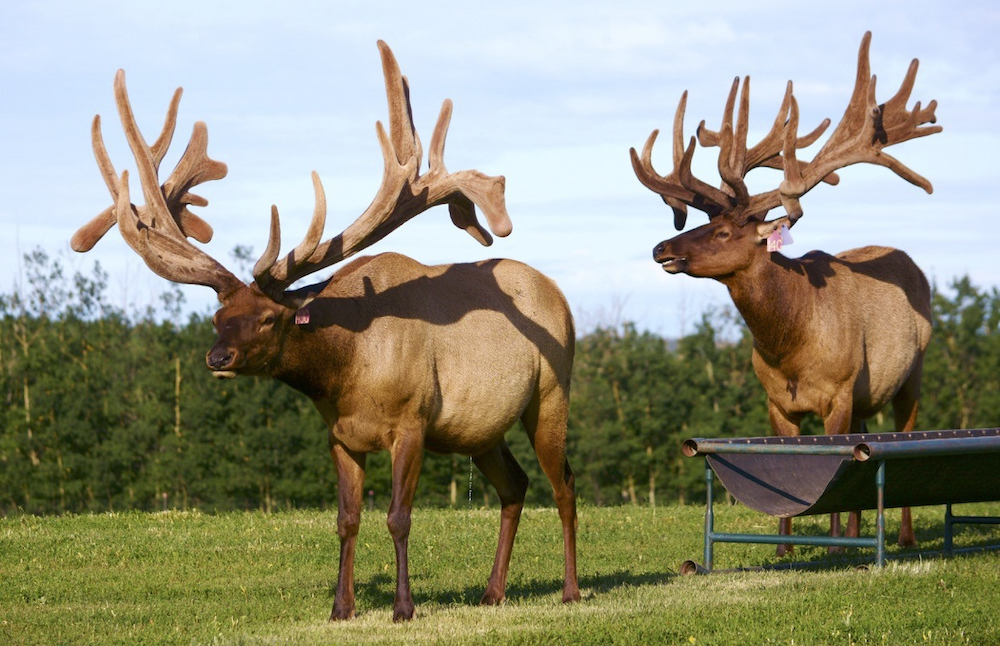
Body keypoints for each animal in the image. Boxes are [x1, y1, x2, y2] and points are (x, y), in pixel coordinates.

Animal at [71, 41, 580, 621]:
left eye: (269, 318)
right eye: (218, 318)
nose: (218, 358)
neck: (349, 373)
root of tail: (560, 295)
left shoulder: (413, 420)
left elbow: (398, 517)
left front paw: (403, 608)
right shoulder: (340, 435)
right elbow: (346, 520)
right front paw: (342, 607)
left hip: (551, 393)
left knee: (564, 485)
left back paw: (571, 589)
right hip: (479, 429)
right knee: (515, 485)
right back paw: (493, 592)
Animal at [630, 32, 938, 554]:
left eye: (723, 232)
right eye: (703, 223)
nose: (660, 248)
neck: (791, 346)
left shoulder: (838, 391)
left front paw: (836, 547)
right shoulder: (776, 400)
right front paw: (784, 548)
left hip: (912, 372)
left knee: (906, 435)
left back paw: (904, 537)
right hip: (867, 395)